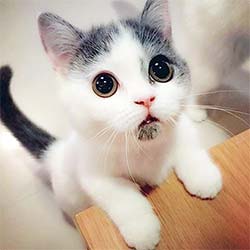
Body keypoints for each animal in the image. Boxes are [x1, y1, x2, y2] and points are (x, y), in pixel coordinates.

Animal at [0, 0, 223, 249]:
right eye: (104, 84)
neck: (143, 149)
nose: (145, 99)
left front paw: (203, 175)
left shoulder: (181, 125)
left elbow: (187, 142)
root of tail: (56, 151)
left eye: (161, 68)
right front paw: (142, 229)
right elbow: (120, 193)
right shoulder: (92, 171)